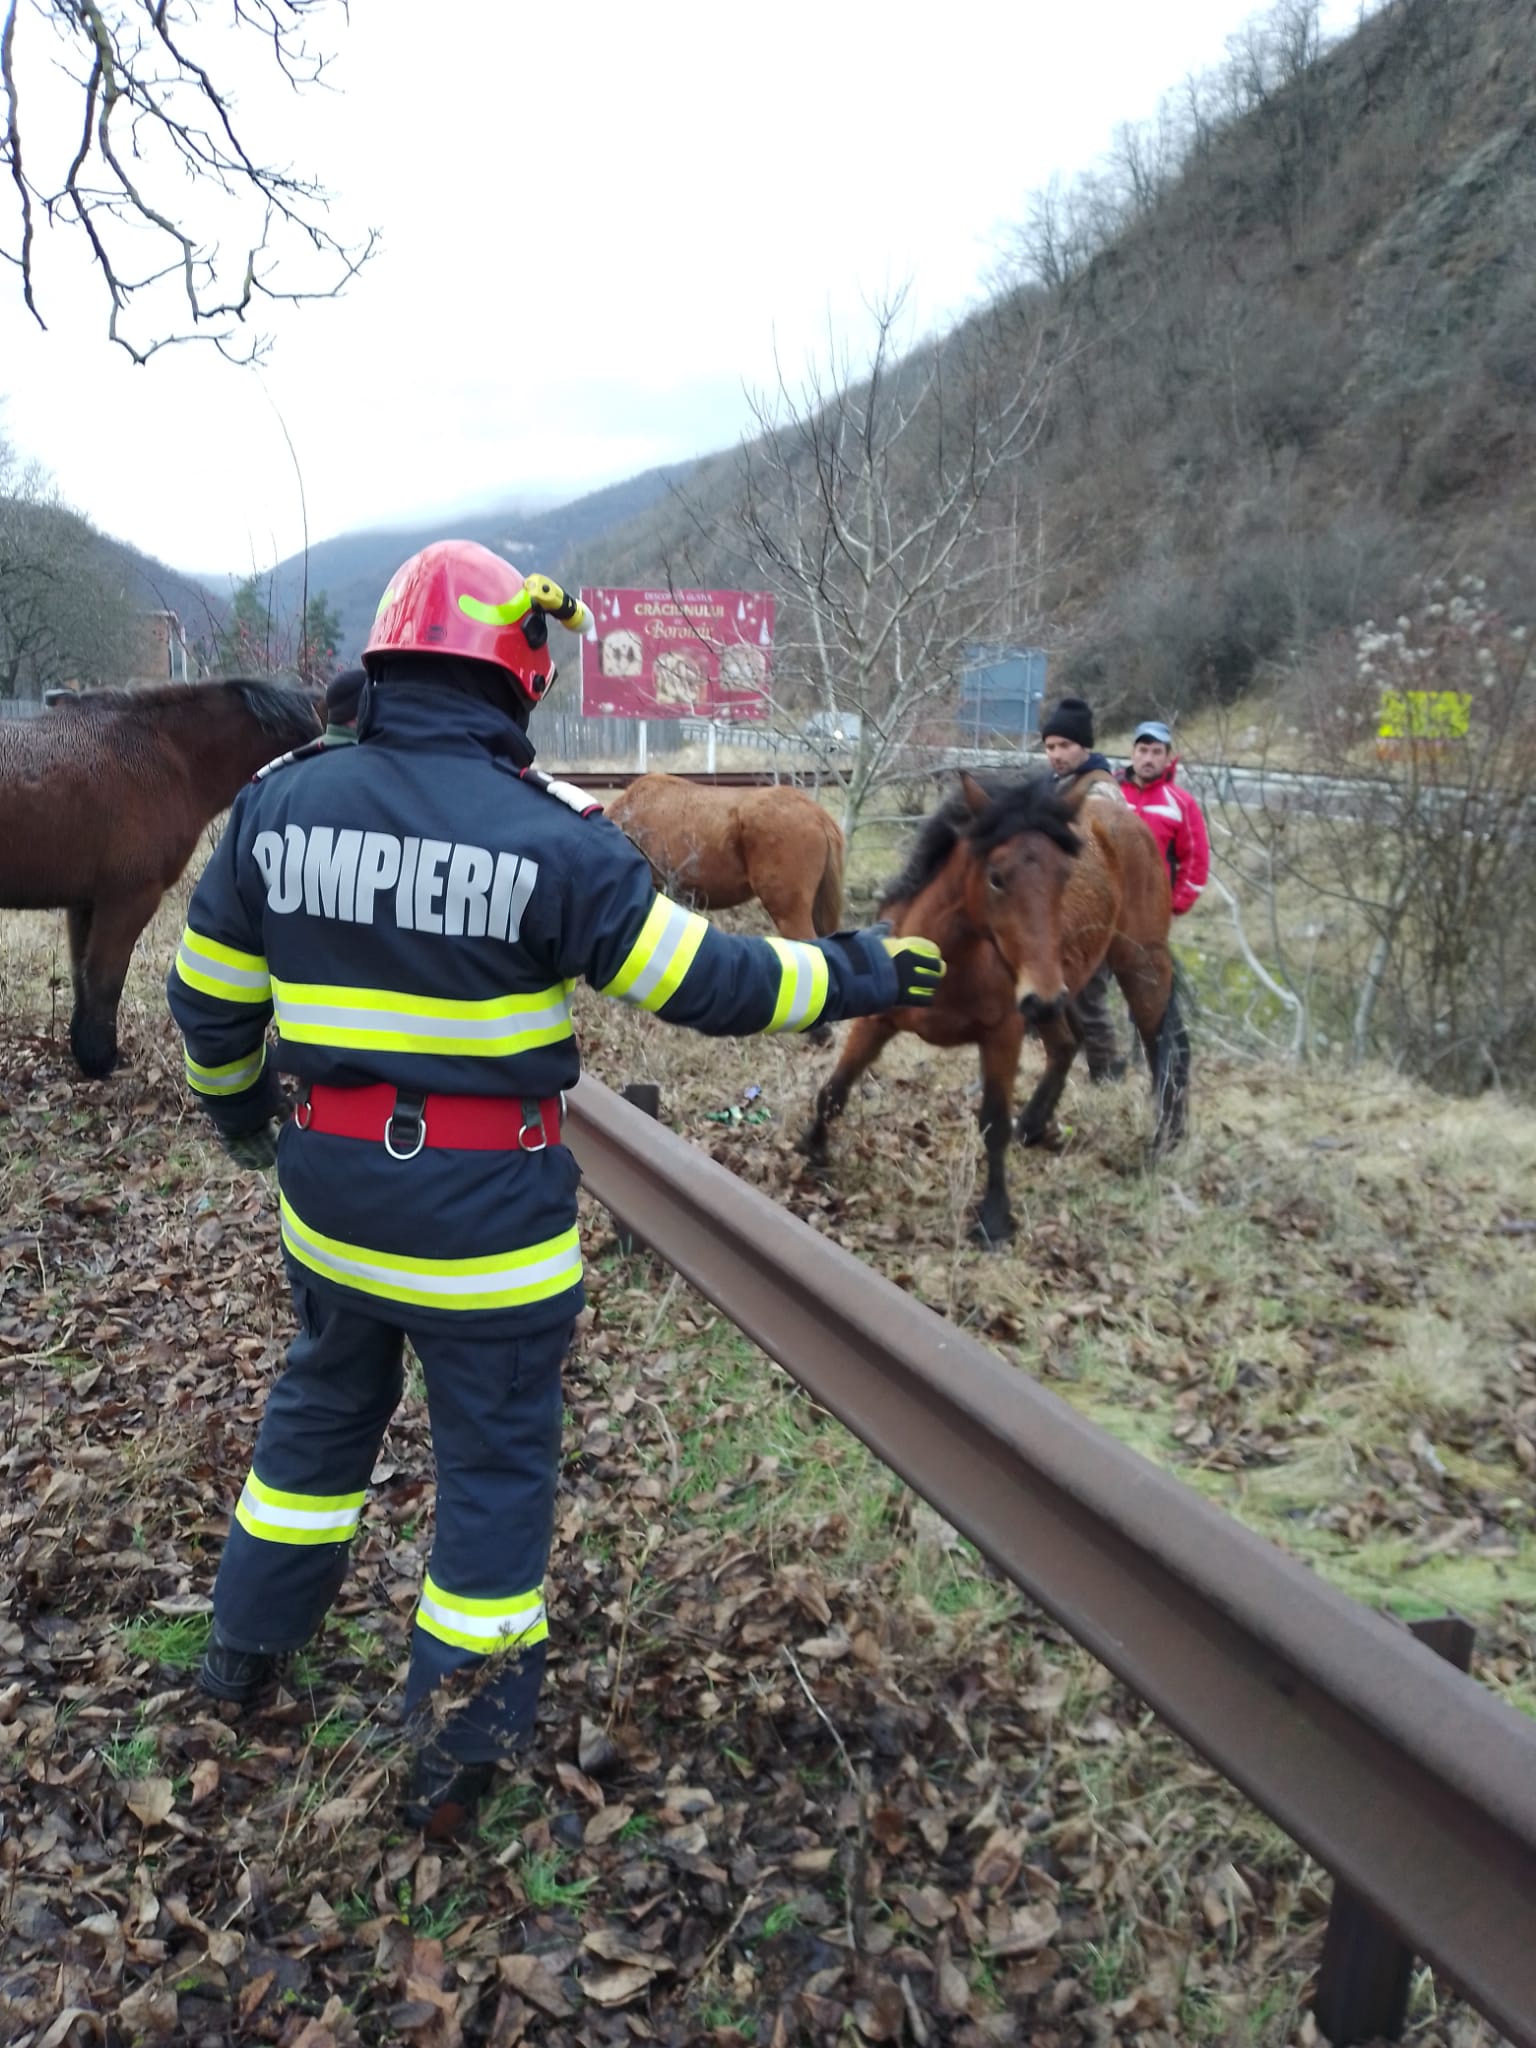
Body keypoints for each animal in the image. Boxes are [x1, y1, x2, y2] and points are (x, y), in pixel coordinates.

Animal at [0, 679, 319, 1081]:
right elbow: (105, 981)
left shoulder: (85, 903)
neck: (168, 755)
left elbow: (81, 977)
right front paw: (101, 1060)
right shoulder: (128, 900)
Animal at [798, 770, 1196, 1236]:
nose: (1042, 996)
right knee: (1067, 1043)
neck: (945, 959)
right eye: (996, 876)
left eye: (1065, 875)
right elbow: (835, 1088)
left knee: (1165, 1047)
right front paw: (813, 1152)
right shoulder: (877, 1020)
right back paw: (1035, 1125)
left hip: (1133, 966)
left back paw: (1165, 1143)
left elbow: (993, 1124)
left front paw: (993, 1217)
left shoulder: (1004, 1034)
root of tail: (1129, 819)